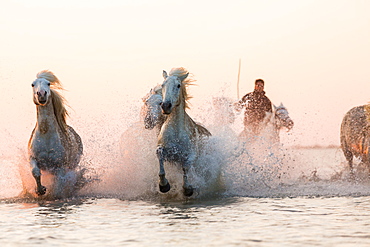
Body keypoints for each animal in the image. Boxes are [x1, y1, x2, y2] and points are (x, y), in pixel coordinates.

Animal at [155, 67, 211, 197]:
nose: (165, 106)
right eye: (163, 84)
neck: (176, 132)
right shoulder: (167, 152)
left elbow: (185, 167)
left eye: (178, 85)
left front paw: (187, 189)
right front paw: (164, 185)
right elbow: (160, 156)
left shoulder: (190, 155)